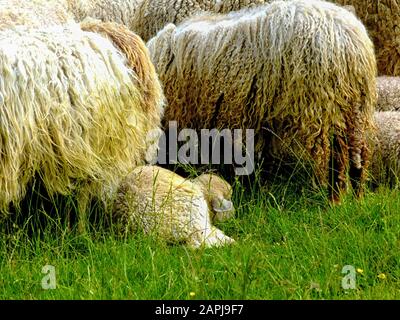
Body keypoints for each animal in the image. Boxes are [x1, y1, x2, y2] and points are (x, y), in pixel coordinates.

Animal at [148, 0, 378, 202]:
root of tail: (351, 43)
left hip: (323, 104)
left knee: (334, 155)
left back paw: (333, 199)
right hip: (354, 106)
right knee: (358, 151)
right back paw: (357, 196)